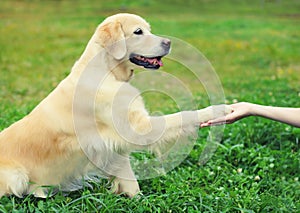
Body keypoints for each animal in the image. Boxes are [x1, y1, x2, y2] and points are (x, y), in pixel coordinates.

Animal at [0, 13, 230, 198]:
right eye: (138, 32)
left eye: (149, 29)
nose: (169, 42)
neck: (107, 72)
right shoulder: (140, 128)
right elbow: (184, 115)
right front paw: (219, 109)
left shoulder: (114, 145)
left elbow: (129, 179)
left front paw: (136, 199)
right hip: (17, 175)